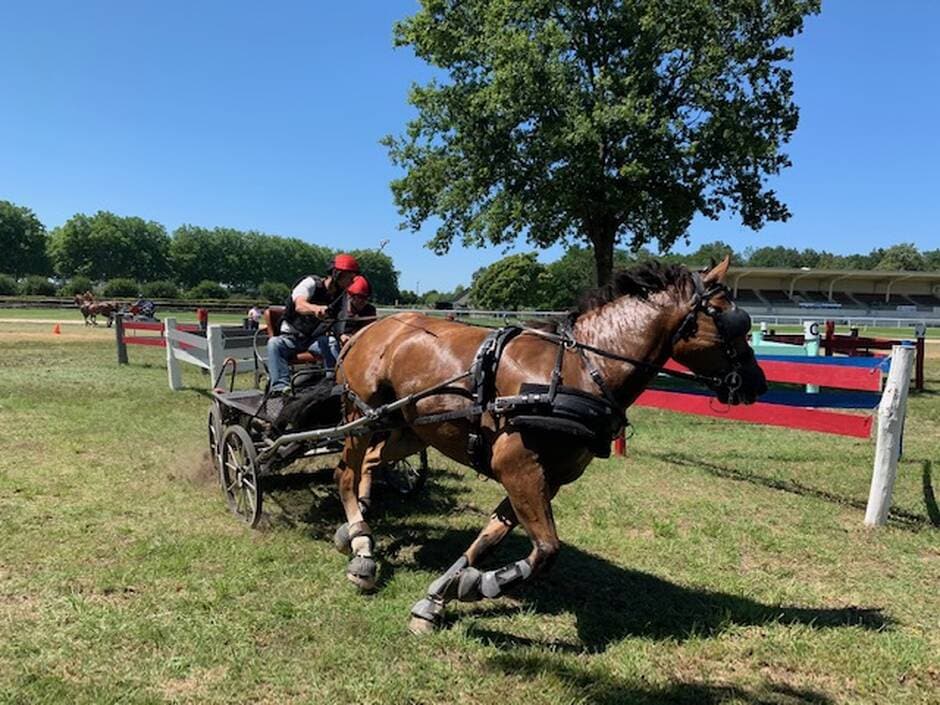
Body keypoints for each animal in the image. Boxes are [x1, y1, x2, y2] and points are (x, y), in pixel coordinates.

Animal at [328, 256, 764, 628]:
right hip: (361, 419)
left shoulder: (546, 477)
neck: (581, 370)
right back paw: (362, 547)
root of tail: (367, 329)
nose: (757, 383)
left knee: (368, 464)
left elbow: (491, 539)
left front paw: (441, 595)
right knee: (345, 473)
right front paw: (482, 583)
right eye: (734, 321)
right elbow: (548, 549)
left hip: (407, 429)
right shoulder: (518, 466)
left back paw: (359, 525)